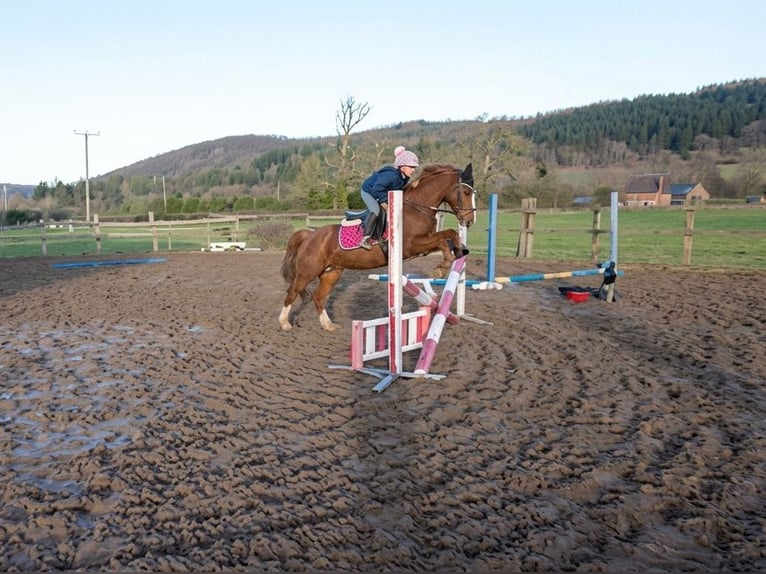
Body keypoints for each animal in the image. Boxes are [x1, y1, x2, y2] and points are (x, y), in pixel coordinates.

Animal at [279, 162, 476, 332]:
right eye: (466, 192)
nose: (469, 221)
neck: (416, 209)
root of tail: (309, 234)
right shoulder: (412, 245)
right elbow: (444, 238)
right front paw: (442, 267)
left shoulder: (425, 243)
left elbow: (449, 234)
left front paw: (459, 252)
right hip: (308, 271)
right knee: (292, 291)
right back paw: (284, 323)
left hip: (331, 272)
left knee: (319, 297)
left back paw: (328, 325)